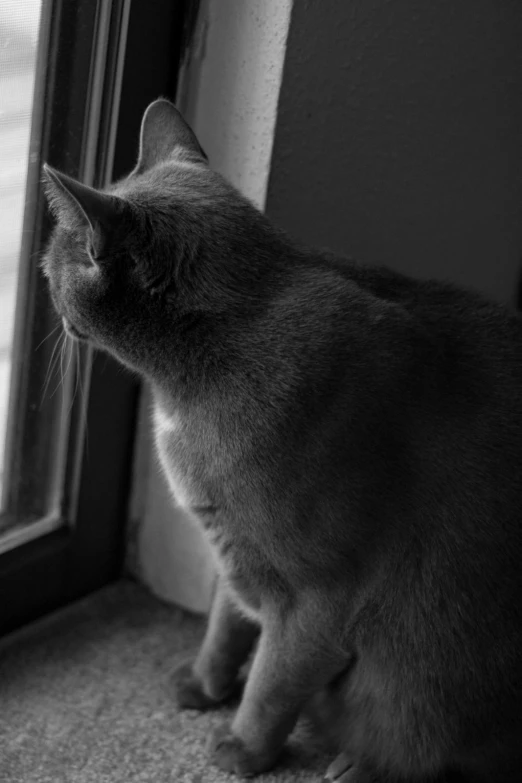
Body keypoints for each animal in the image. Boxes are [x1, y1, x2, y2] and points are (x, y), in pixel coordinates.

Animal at [41, 99, 520, 783]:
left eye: (53, 262)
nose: (43, 281)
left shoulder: (320, 595)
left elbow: (274, 679)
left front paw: (242, 751)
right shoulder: (234, 548)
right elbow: (226, 622)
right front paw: (204, 685)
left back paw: (355, 765)